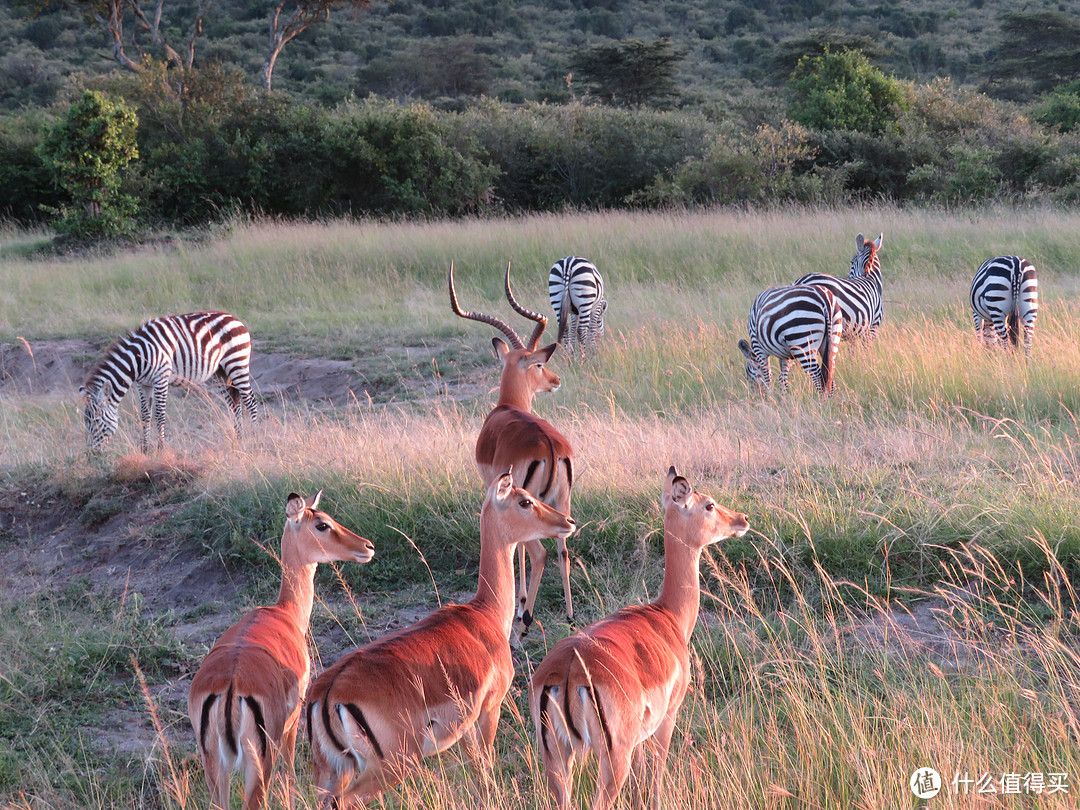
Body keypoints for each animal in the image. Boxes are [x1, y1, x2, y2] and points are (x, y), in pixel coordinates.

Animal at [78, 308, 258, 451]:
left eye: (95, 421)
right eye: (86, 422)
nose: (91, 454)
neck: (139, 359)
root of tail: (234, 318)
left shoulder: (161, 379)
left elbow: (159, 415)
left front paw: (161, 449)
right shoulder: (143, 384)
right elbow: (145, 415)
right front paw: (145, 449)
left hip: (237, 364)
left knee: (250, 401)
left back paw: (256, 440)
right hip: (221, 373)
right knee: (235, 405)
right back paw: (238, 441)